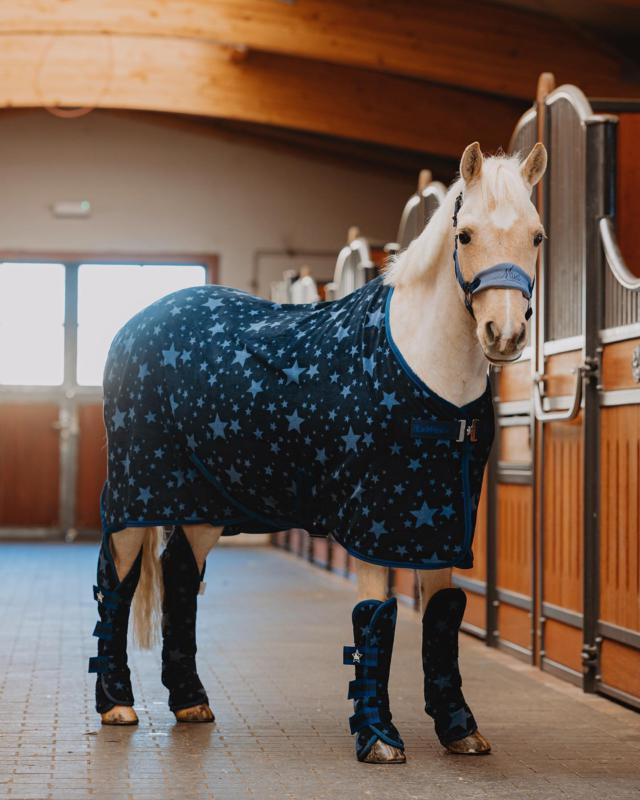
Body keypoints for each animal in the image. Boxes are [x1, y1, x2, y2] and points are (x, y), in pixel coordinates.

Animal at [88, 140, 547, 764]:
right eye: (466, 234)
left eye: (537, 236)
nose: (505, 334)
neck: (427, 371)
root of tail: (138, 322)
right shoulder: (373, 522)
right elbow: (375, 619)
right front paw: (378, 738)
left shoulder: (438, 525)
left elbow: (443, 620)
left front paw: (459, 729)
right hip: (137, 496)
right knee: (117, 578)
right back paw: (115, 704)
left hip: (207, 503)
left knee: (181, 575)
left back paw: (190, 702)